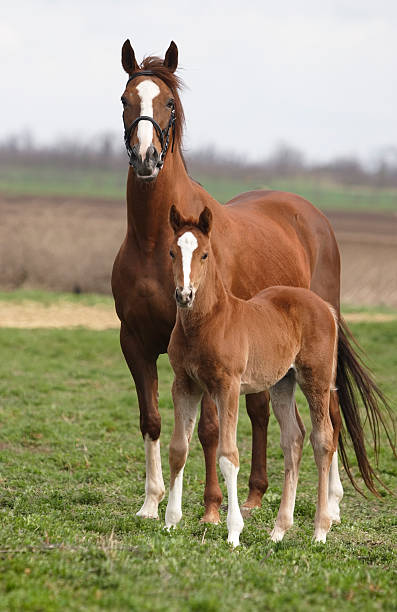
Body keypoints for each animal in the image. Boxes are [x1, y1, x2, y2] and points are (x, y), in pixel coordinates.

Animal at [164, 206, 340, 544]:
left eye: (204, 254)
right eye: (171, 252)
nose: (184, 295)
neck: (208, 322)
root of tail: (324, 306)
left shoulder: (227, 387)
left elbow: (228, 456)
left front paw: (233, 532)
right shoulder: (184, 384)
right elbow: (179, 448)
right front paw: (169, 521)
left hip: (317, 378)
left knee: (323, 438)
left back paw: (320, 530)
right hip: (283, 383)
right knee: (293, 440)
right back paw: (279, 530)